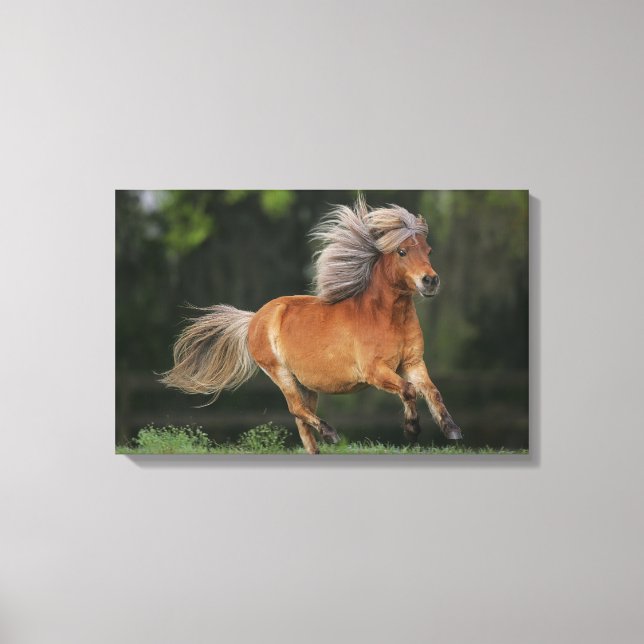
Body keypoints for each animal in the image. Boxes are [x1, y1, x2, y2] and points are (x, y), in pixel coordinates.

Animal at [161, 195, 462, 454]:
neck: (387, 317)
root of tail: (254, 318)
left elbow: (432, 392)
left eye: (428, 250)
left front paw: (452, 430)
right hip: (280, 372)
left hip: (305, 383)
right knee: (296, 410)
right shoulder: (375, 371)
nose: (430, 281)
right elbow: (409, 390)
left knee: (302, 421)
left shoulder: (412, 362)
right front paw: (412, 429)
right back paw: (331, 434)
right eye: (401, 251)